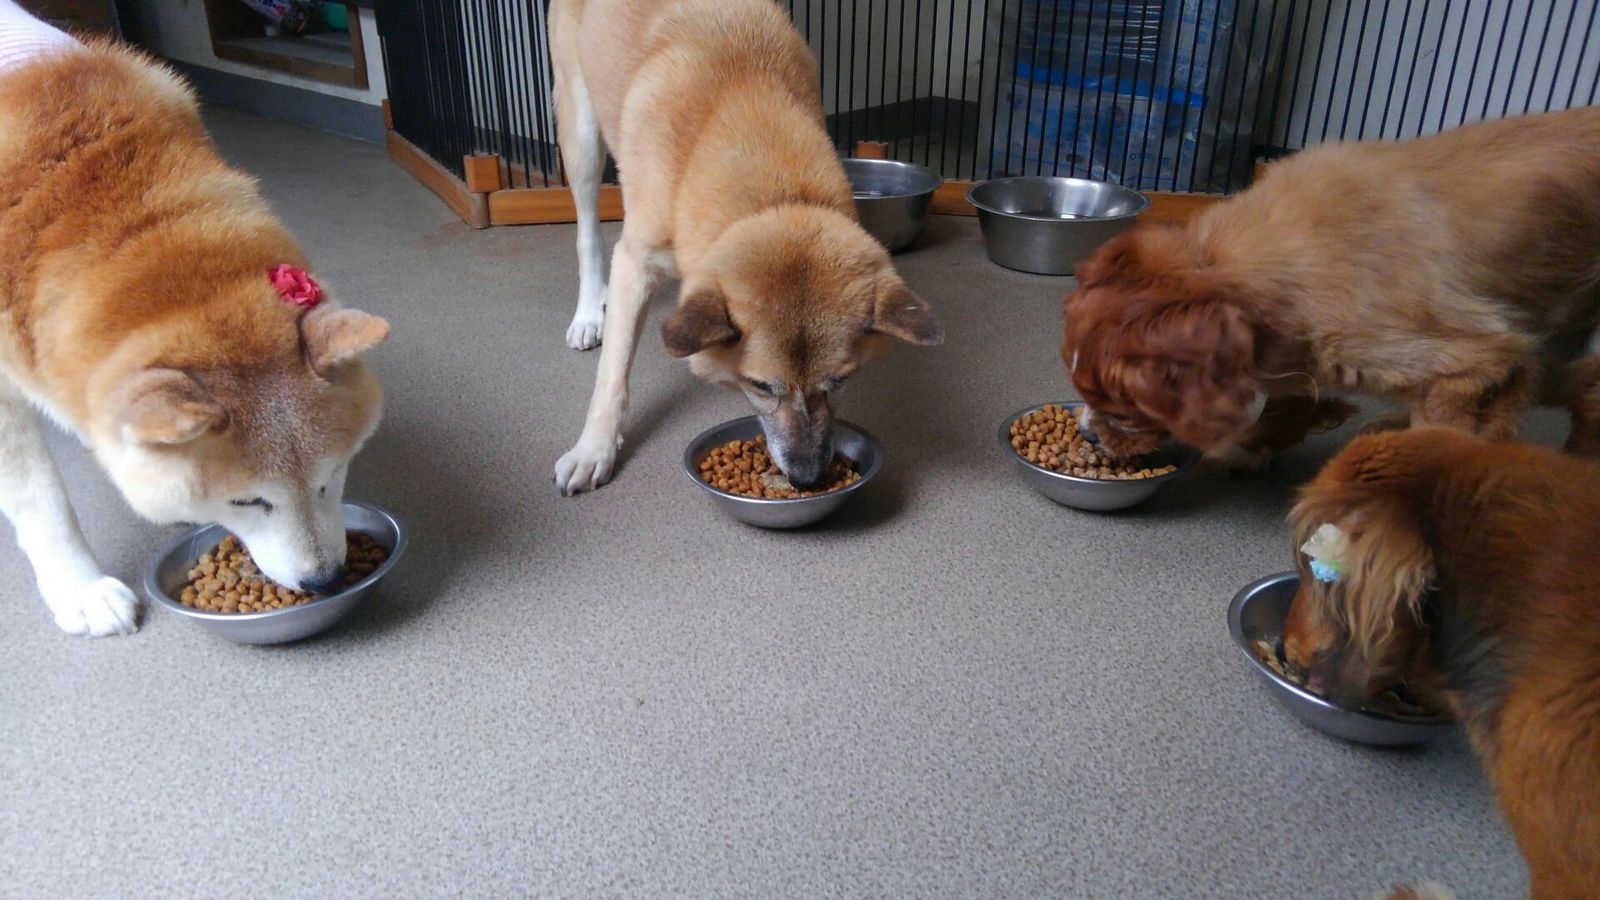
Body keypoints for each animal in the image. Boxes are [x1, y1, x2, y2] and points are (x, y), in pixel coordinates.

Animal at [548, 0, 942, 495]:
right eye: (760, 385)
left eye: (839, 380)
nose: (808, 478)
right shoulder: (635, 262)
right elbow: (613, 375)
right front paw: (594, 448)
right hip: (581, 136)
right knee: (587, 233)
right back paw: (588, 314)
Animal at [1063, 107, 1600, 469]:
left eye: (1125, 412)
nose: (1087, 437)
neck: (1217, 264)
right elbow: (1290, 398)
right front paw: (1255, 446)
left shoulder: (1475, 362)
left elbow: (1443, 435)